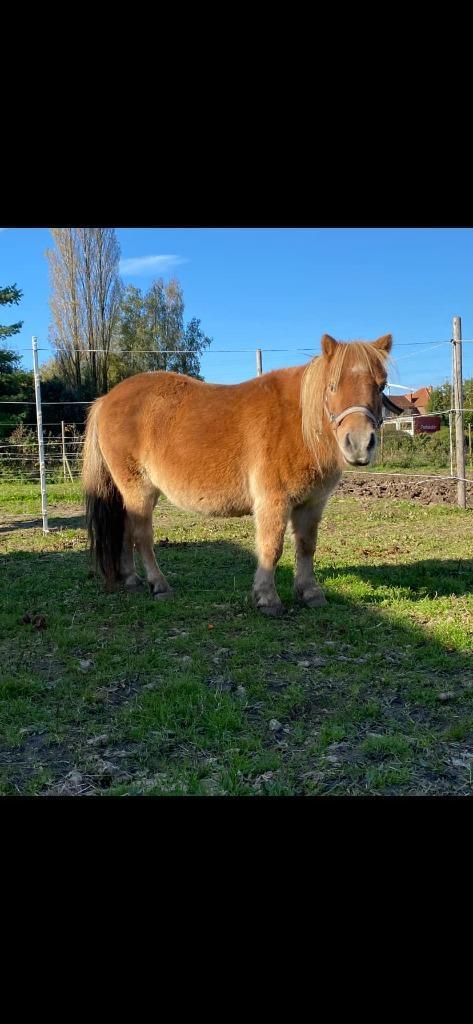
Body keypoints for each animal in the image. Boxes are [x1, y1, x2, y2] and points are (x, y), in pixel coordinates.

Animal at [83, 333, 391, 614]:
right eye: (332, 386)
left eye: (381, 385)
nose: (359, 443)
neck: (300, 422)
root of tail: (106, 399)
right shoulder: (273, 501)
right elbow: (271, 548)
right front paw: (267, 598)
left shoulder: (312, 504)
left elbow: (306, 546)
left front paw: (310, 592)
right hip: (139, 489)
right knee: (142, 536)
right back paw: (159, 585)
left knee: (125, 531)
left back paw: (131, 580)